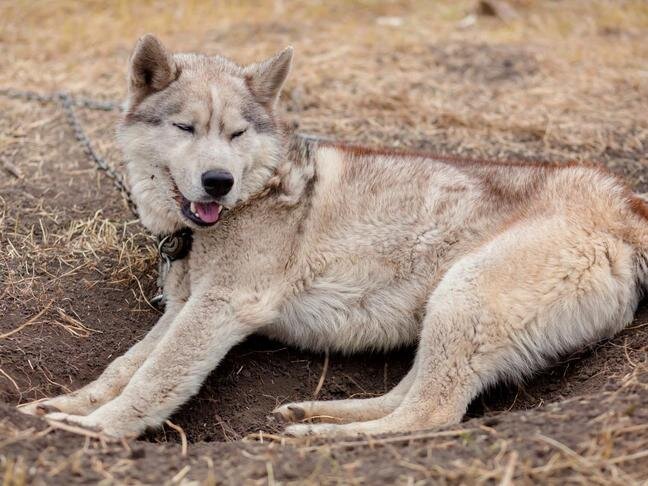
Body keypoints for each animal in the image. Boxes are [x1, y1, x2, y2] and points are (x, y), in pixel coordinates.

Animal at [20, 33, 648, 436]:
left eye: (237, 133)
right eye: (185, 127)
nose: (219, 181)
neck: (258, 191)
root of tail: (624, 206)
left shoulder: (222, 305)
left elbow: (153, 378)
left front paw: (97, 429)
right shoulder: (182, 308)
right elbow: (121, 368)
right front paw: (63, 406)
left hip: (464, 294)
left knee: (429, 416)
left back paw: (319, 438)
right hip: (448, 313)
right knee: (407, 397)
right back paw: (313, 415)